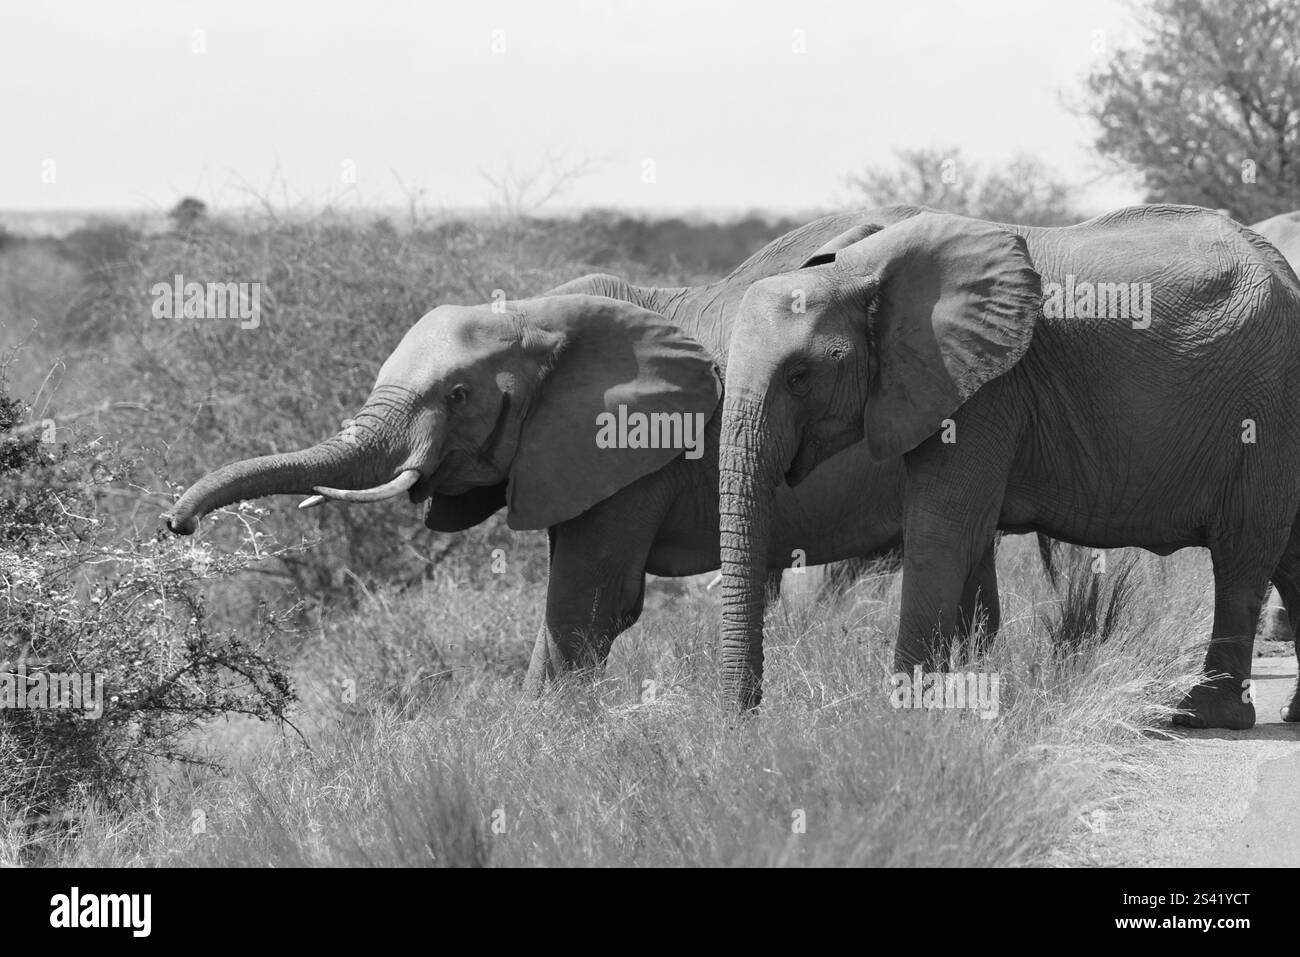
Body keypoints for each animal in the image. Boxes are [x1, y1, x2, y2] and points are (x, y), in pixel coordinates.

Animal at [717, 200, 1300, 722]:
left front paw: (904, 718)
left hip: (1263, 410)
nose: (744, 723)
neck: (860, 270)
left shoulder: (987, 388)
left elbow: (940, 526)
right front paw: (966, 696)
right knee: (1287, 552)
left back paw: (1201, 715)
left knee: (1243, 552)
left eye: (799, 377)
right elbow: (971, 536)